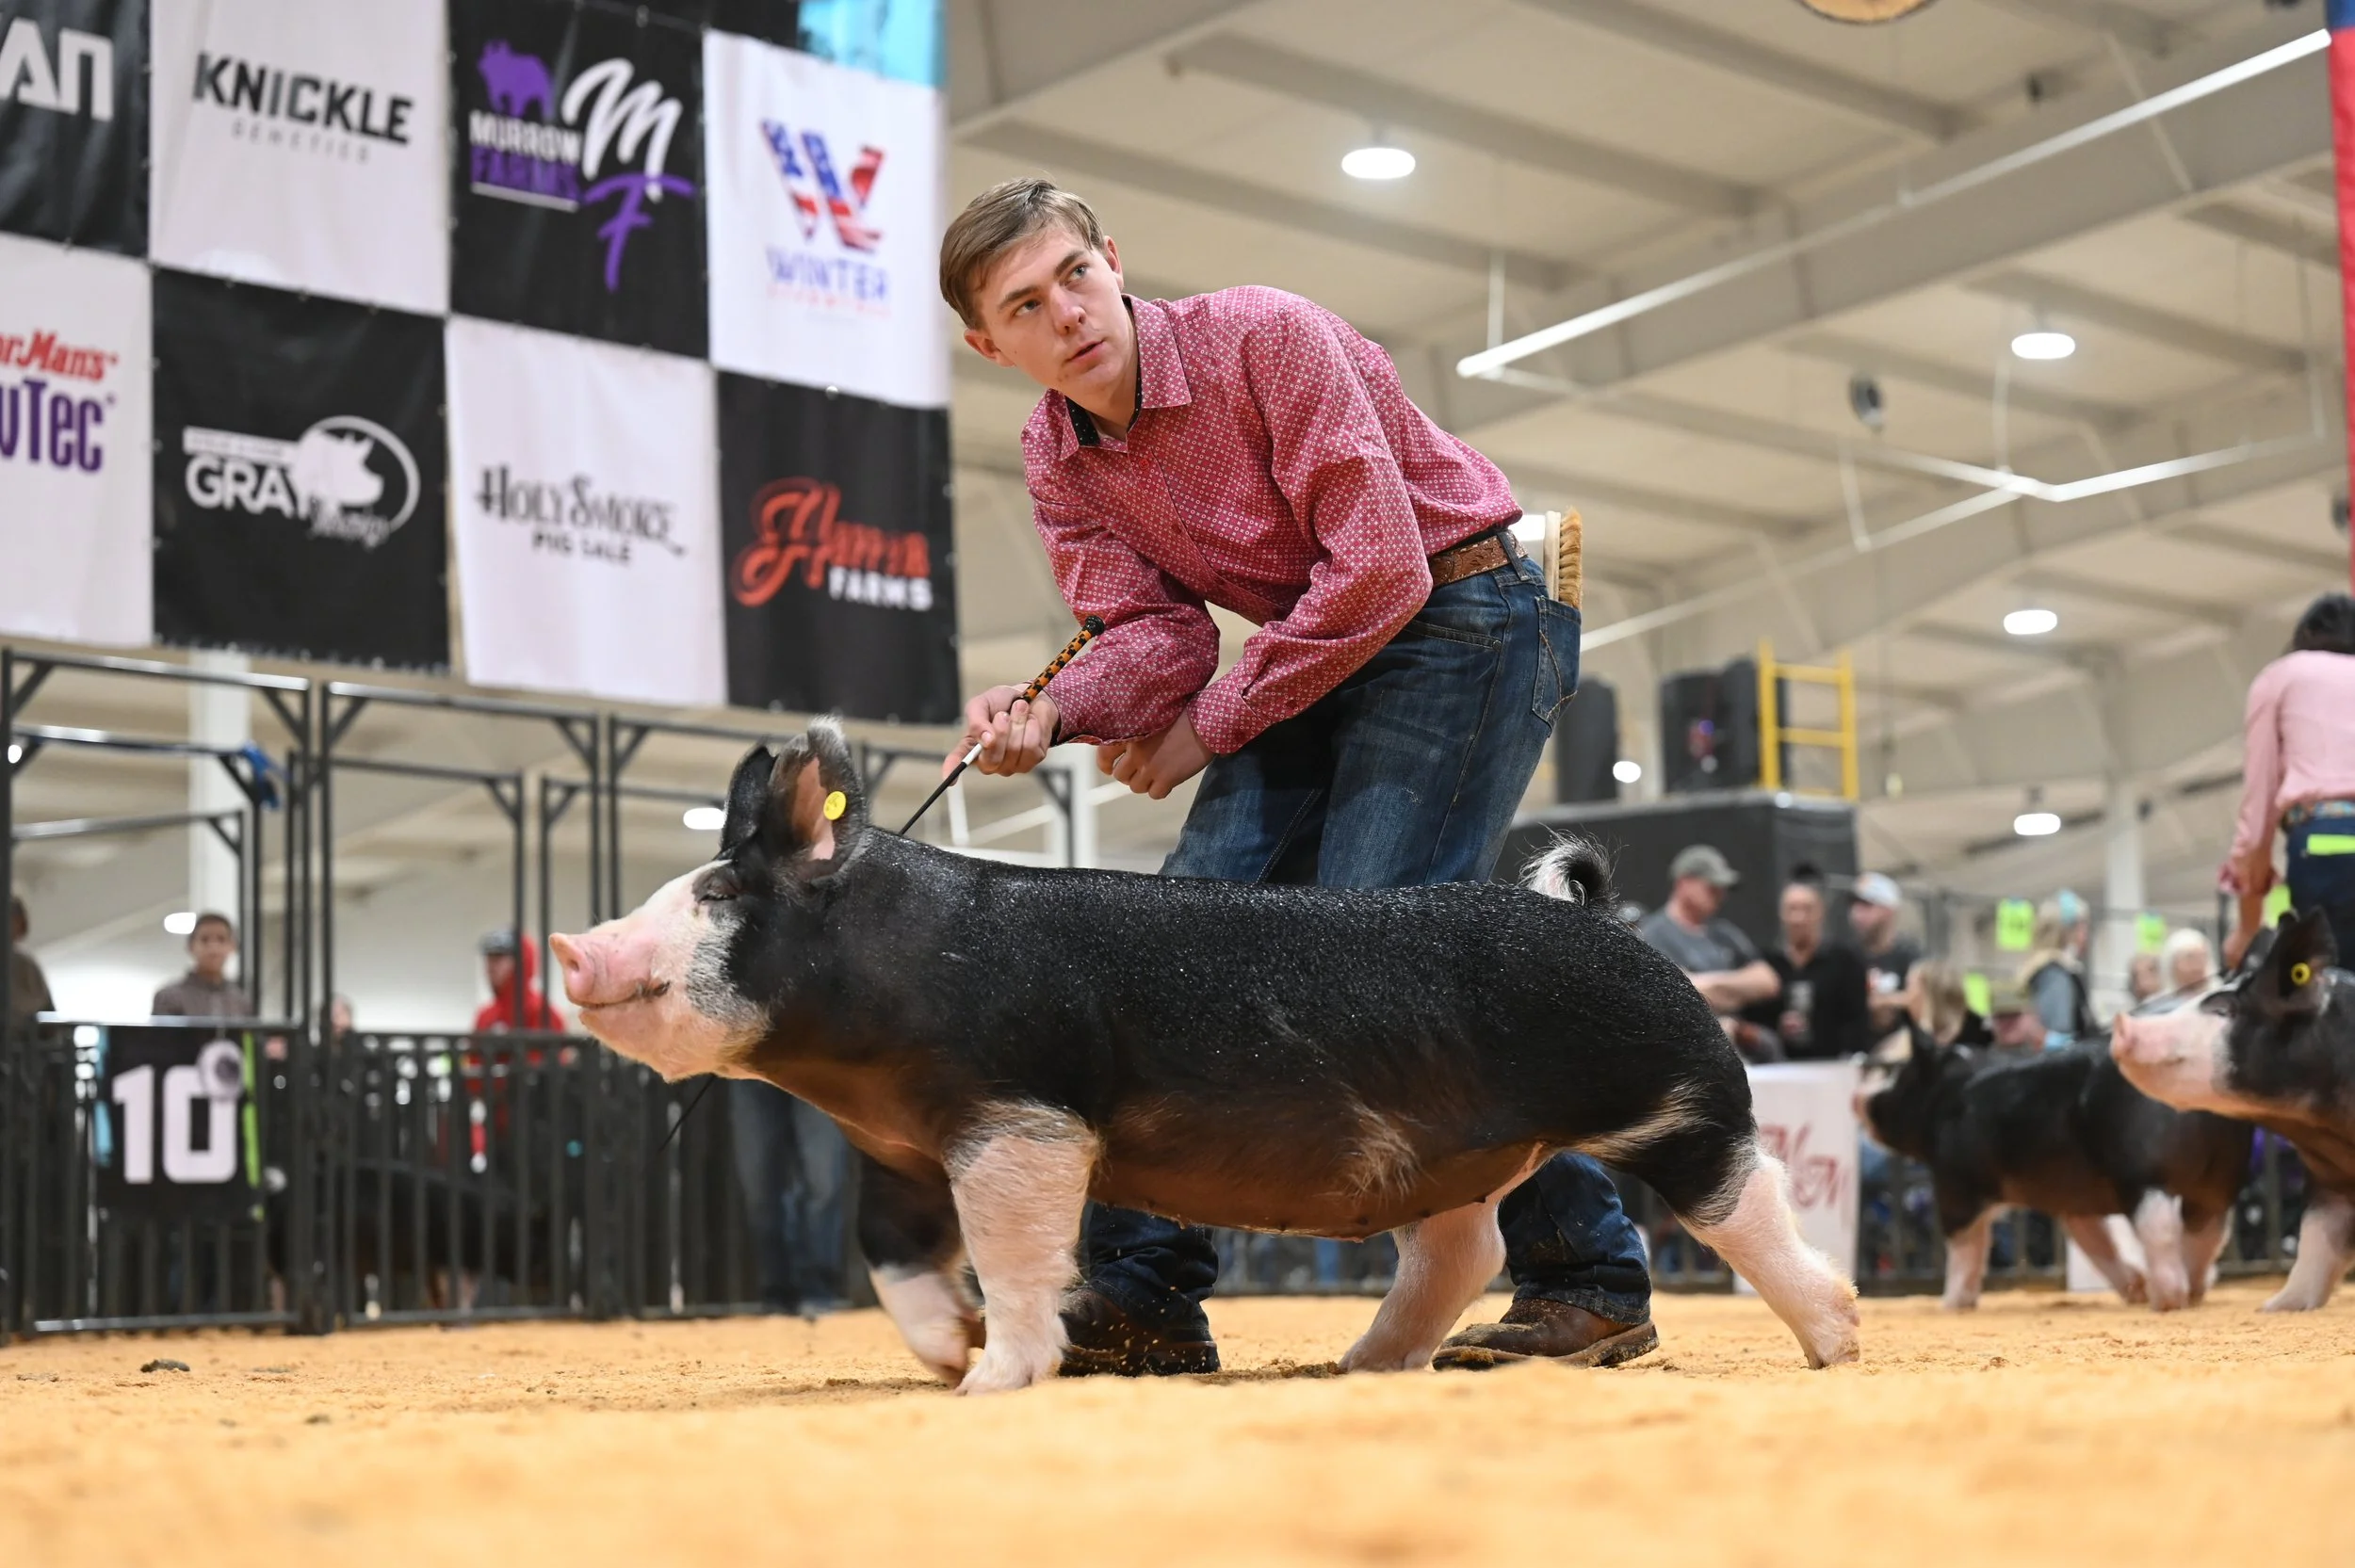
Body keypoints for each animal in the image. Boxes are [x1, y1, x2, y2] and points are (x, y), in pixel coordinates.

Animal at [551, 721, 1860, 1393]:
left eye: (719, 896)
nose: (570, 943)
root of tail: (1593, 912)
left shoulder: (1023, 1117)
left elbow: (1017, 1257)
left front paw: (992, 1377)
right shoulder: (902, 1146)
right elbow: (892, 1256)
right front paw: (949, 1348)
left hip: (1675, 1094)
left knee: (1748, 1204)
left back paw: (1835, 1344)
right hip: (1457, 1149)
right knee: (1464, 1247)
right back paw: (1362, 1365)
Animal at [1860, 1034, 2251, 1310]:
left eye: (1900, 1077)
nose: (1860, 1097)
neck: (1947, 1097)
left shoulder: (1955, 1184)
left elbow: (1965, 1247)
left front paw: (1952, 1304)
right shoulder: (2075, 1200)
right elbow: (2095, 1242)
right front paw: (2133, 1289)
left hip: (2142, 1175)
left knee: (2160, 1228)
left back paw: (2167, 1299)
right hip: (2221, 1175)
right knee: (2209, 1230)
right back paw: (2193, 1291)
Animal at [2112, 909, 2355, 1312]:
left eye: (2225, 1010)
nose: (2121, 1023)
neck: (2324, 1133)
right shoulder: (2329, 1179)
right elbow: (2315, 1244)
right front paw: (2274, 1308)